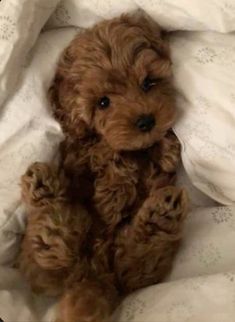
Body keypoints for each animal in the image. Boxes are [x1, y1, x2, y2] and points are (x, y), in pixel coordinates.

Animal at [18, 12, 188, 322]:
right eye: (103, 102)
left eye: (148, 83)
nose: (146, 122)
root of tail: (93, 274)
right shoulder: (80, 152)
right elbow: (105, 154)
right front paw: (115, 186)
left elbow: (159, 152)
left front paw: (162, 151)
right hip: (50, 255)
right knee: (53, 263)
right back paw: (45, 196)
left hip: (132, 269)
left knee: (135, 263)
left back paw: (162, 215)